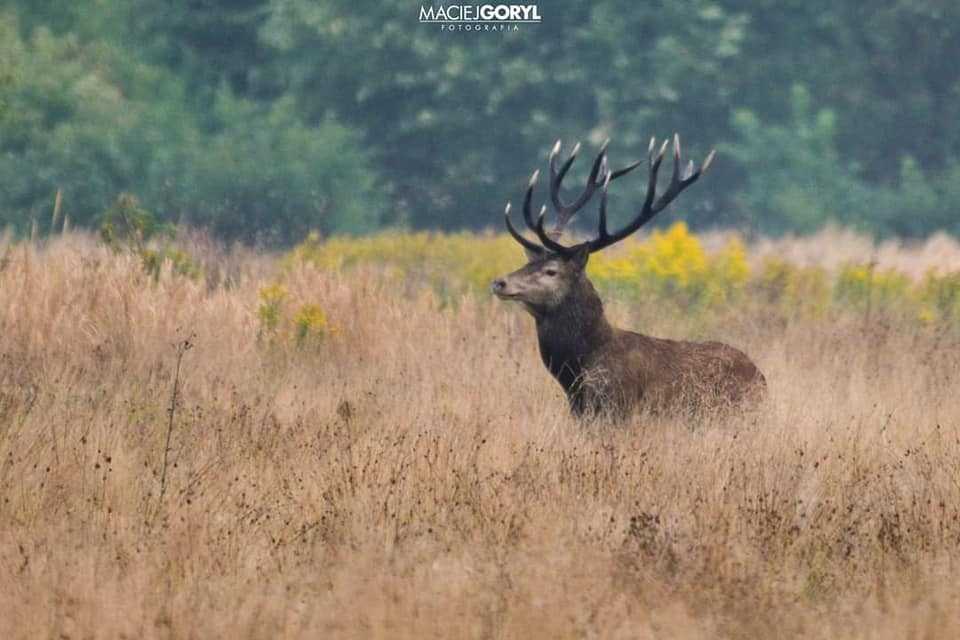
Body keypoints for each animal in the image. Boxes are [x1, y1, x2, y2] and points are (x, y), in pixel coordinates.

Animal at [496, 135, 764, 420]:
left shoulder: (619, 408)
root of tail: (761, 378)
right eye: (527, 262)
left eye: (551, 271)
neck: (577, 373)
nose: (500, 282)